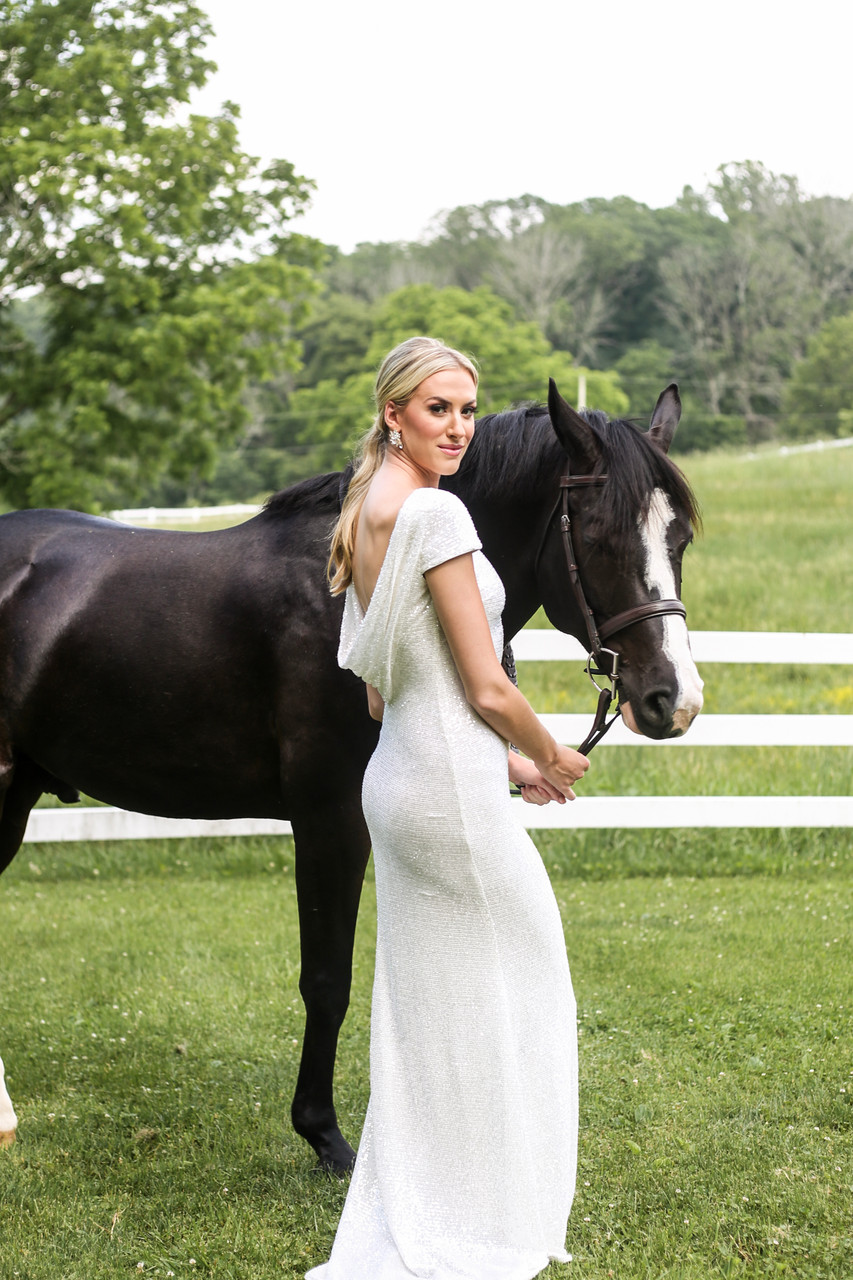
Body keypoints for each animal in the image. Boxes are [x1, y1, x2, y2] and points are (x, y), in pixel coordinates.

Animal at [0, 378, 696, 1172]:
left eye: (679, 539)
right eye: (602, 539)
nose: (673, 699)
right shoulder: (329, 819)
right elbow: (328, 980)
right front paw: (325, 1135)